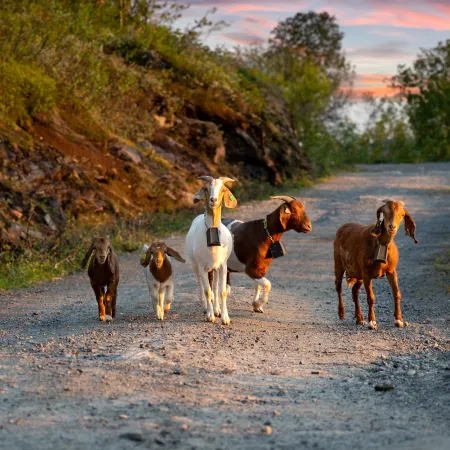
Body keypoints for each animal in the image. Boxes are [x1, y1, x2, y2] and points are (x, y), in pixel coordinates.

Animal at [185, 175, 237, 324]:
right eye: (205, 188)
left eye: (223, 189)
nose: (213, 200)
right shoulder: (202, 266)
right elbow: (207, 290)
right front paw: (210, 315)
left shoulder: (223, 265)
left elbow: (222, 291)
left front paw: (225, 317)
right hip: (195, 265)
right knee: (201, 285)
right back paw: (205, 307)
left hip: (215, 268)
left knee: (214, 285)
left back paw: (217, 309)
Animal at [334, 200, 418, 330]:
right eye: (385, 212)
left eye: (402, 214)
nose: (392, 227)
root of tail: (342, 227)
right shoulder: (366, 274)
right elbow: (371, 297)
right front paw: (372, 322)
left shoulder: (391, 271)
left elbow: (397, 293)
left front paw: (399, 320)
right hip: (338, 263)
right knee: (338, 287)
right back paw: (341, 313)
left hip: (358, 273)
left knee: (354, 292)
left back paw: (359, 318)